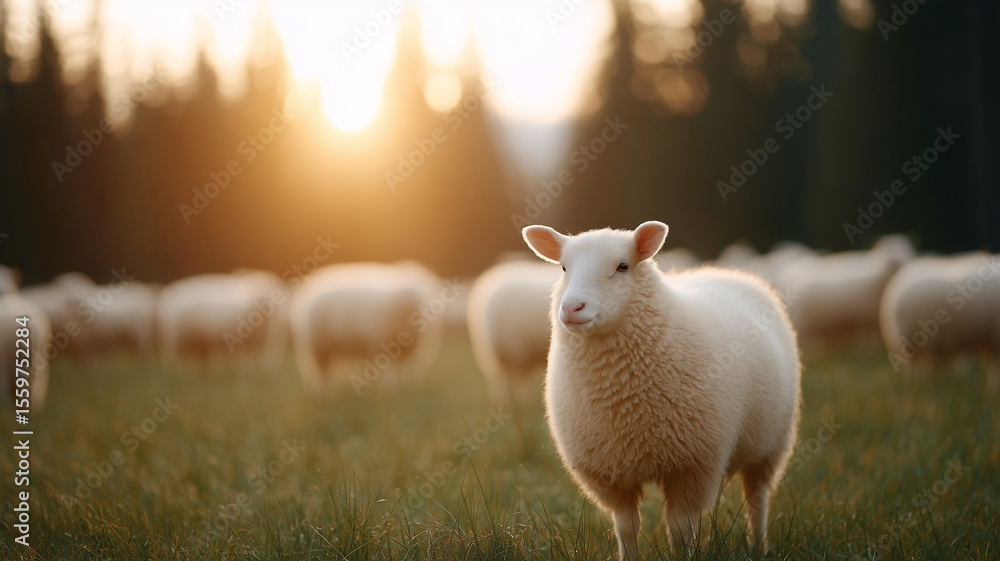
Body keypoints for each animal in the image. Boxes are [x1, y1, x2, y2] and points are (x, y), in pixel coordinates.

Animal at [290, 262, 446, 395]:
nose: (412, 299)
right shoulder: (385, 345)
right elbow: (390, 370)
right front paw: (391, 387)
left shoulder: (410, 349)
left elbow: (407, 369)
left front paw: (406, 386)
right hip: (318, 345)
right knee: (319, 372)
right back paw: (323, 393)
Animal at [522, 221, 801, 559]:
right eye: (564, 267)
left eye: (623, 266)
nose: (572, 307)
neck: (622, 399)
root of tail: (726, 272)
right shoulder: (611, 472)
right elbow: (626, 528)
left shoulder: (692, 466)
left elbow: (680, 531)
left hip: (771, 444)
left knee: (757, 500)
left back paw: (759, 546)